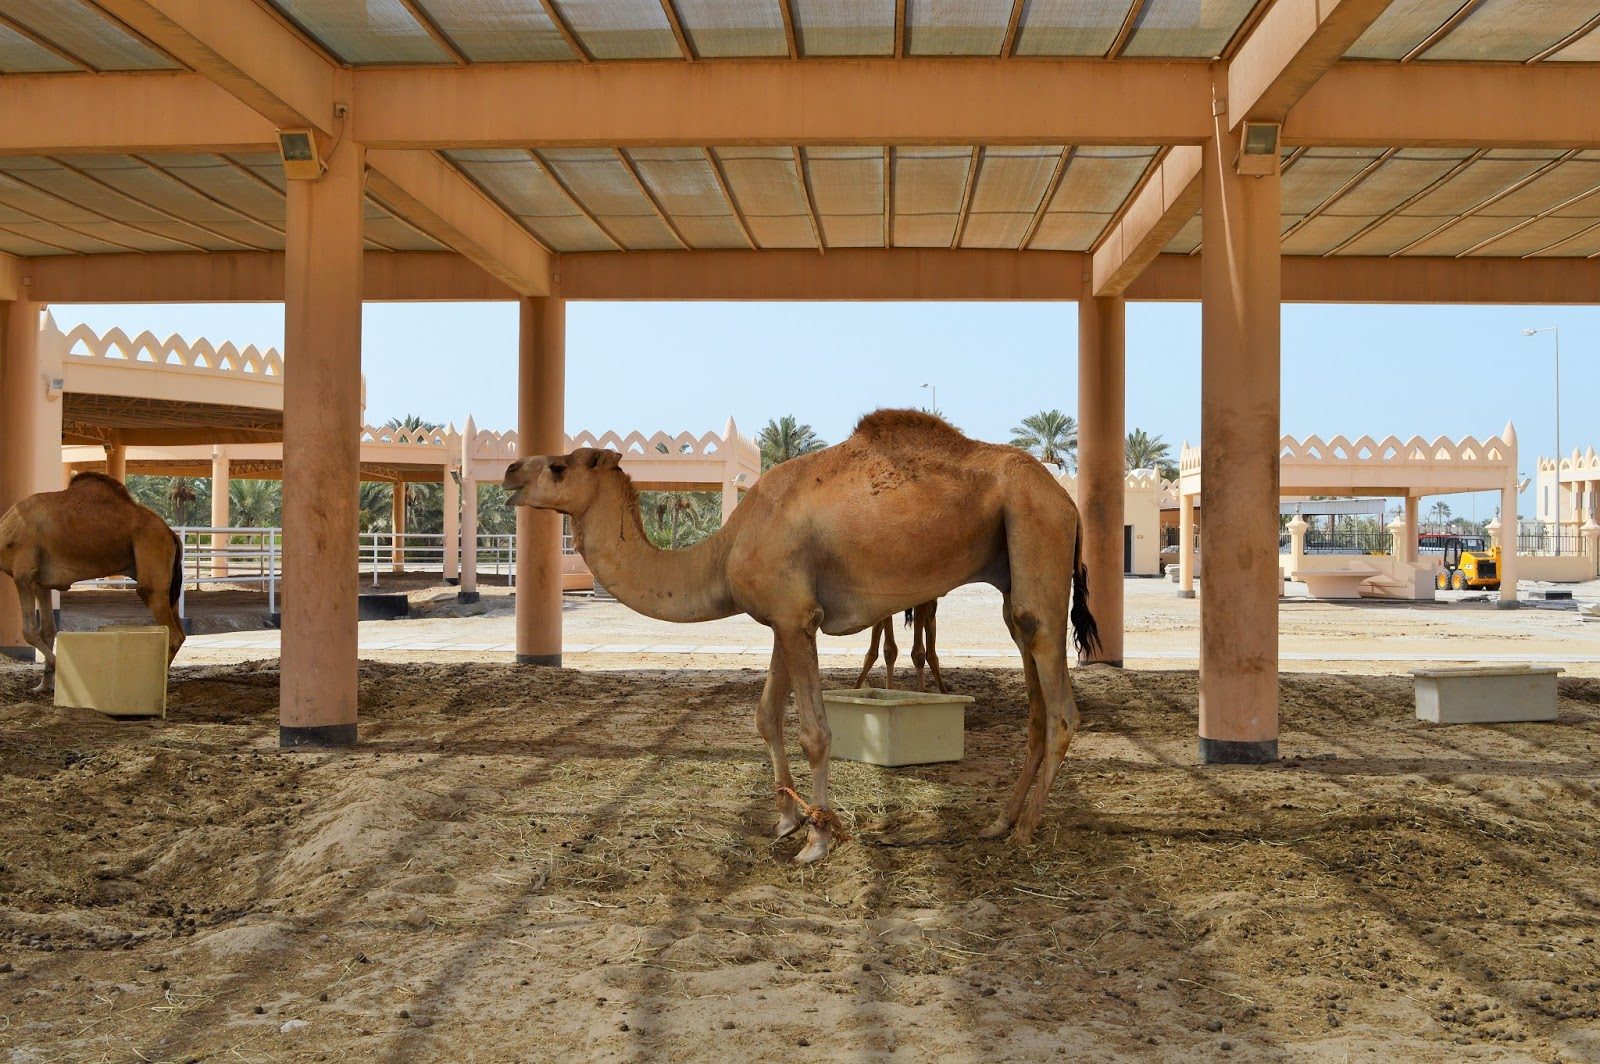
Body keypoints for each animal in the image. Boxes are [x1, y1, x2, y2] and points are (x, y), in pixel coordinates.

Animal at [0, 472, 185, 692]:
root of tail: (171, 533)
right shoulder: (40, 583)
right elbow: (48, 630)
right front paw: (43, 686)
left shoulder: (24, 574)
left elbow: (29, 631)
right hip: (168, 579)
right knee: (180, 630)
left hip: (151, 547)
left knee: (169, 628)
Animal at [504, 410, 1098, 864]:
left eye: (557, 466)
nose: (510, 470)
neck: (725, 548)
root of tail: (1067, 501)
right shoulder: (782, 619)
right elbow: (766, 715)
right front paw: (787, 818)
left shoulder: (795, 616)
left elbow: (815, 731)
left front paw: (817, 839)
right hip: (1012, 567)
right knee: (1033, 690)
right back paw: (999, 821)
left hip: (1035, 527)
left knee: (1060, 700)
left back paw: (1026, 830)